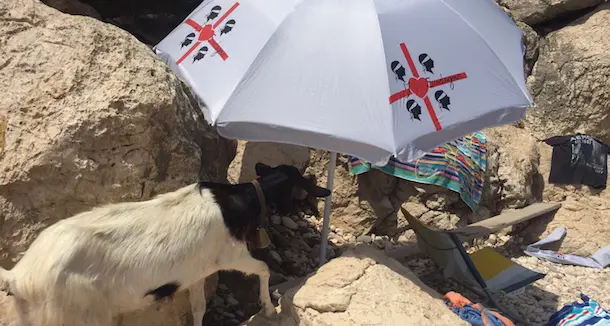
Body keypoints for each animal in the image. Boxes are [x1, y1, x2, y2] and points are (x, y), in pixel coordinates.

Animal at [0, 163, 328, 326]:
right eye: (302, 189)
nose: (310, 211)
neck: (236, 202)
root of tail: (19, 276)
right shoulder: (229, 254)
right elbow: (263, 268)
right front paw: (269, 308)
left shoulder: (196, 272)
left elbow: (198, 307)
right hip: (75, 315)